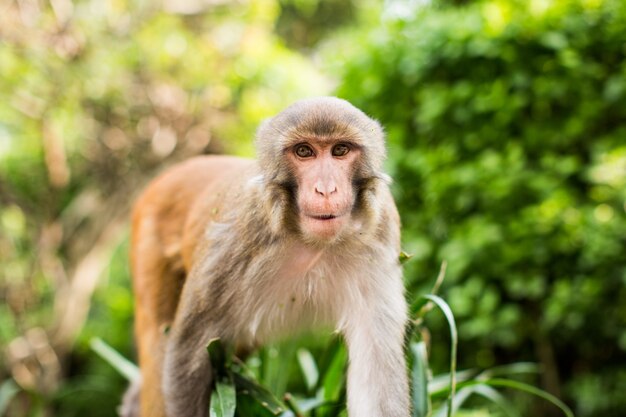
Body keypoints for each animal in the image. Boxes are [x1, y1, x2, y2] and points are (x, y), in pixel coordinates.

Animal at [127, 96, 410, 414]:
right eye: (304, 151)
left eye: (340, 150)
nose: (326, 189)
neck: (311, 243)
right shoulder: (235, 243)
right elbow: (187, 354)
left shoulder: (382, 231)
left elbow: (377, 371)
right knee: (157, 339)